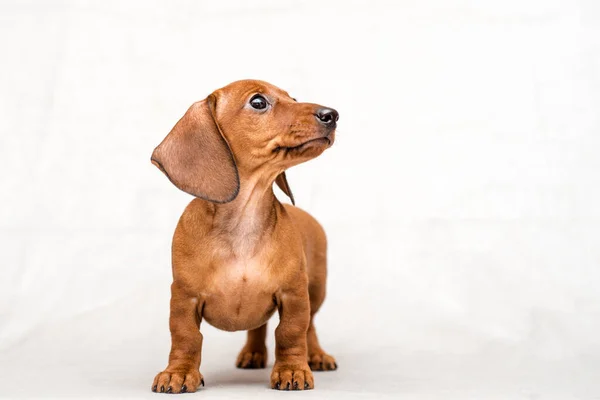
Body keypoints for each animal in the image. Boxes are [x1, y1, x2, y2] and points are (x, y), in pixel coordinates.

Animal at [149, 79, 338, 392]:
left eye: (293, 98)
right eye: (258, 102)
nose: (332, 115)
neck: (243, 221)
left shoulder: (294, 294)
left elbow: (291, 332)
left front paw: (292, 370)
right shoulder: (184, 297)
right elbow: (186, 337)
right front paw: (179, 373)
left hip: (316, 289)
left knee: (309, 326)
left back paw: (317, 355)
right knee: (258, 327)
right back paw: (253, 353)